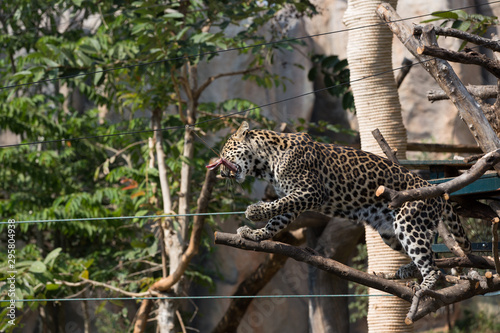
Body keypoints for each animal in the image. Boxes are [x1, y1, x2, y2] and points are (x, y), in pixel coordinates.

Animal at [216, 120, 472, 290]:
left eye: (225, 152)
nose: (221, 172)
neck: (266, 163)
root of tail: (436, 191)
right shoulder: (296, 198)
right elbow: (277, 218)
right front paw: (256, 234)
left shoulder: (311, 191)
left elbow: (278, 205)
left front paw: (254, 211)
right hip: (390, 233)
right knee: (430, 254)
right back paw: (410, 270)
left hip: (408, 221)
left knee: (432, 264)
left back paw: (425, 286)